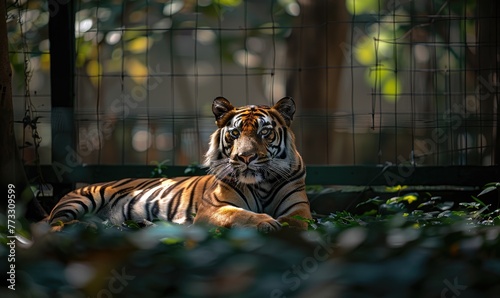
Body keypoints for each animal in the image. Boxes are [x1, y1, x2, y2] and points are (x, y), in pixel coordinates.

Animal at [47, 96, 312, 232]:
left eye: (264, 132)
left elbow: (293, 223)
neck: (262, 184)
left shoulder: (299, 209)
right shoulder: (214, 208)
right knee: (52, 225)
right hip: (84, 198)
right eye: (235, 134)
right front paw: (266, 222)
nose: (245, 157)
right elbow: (242, 215)